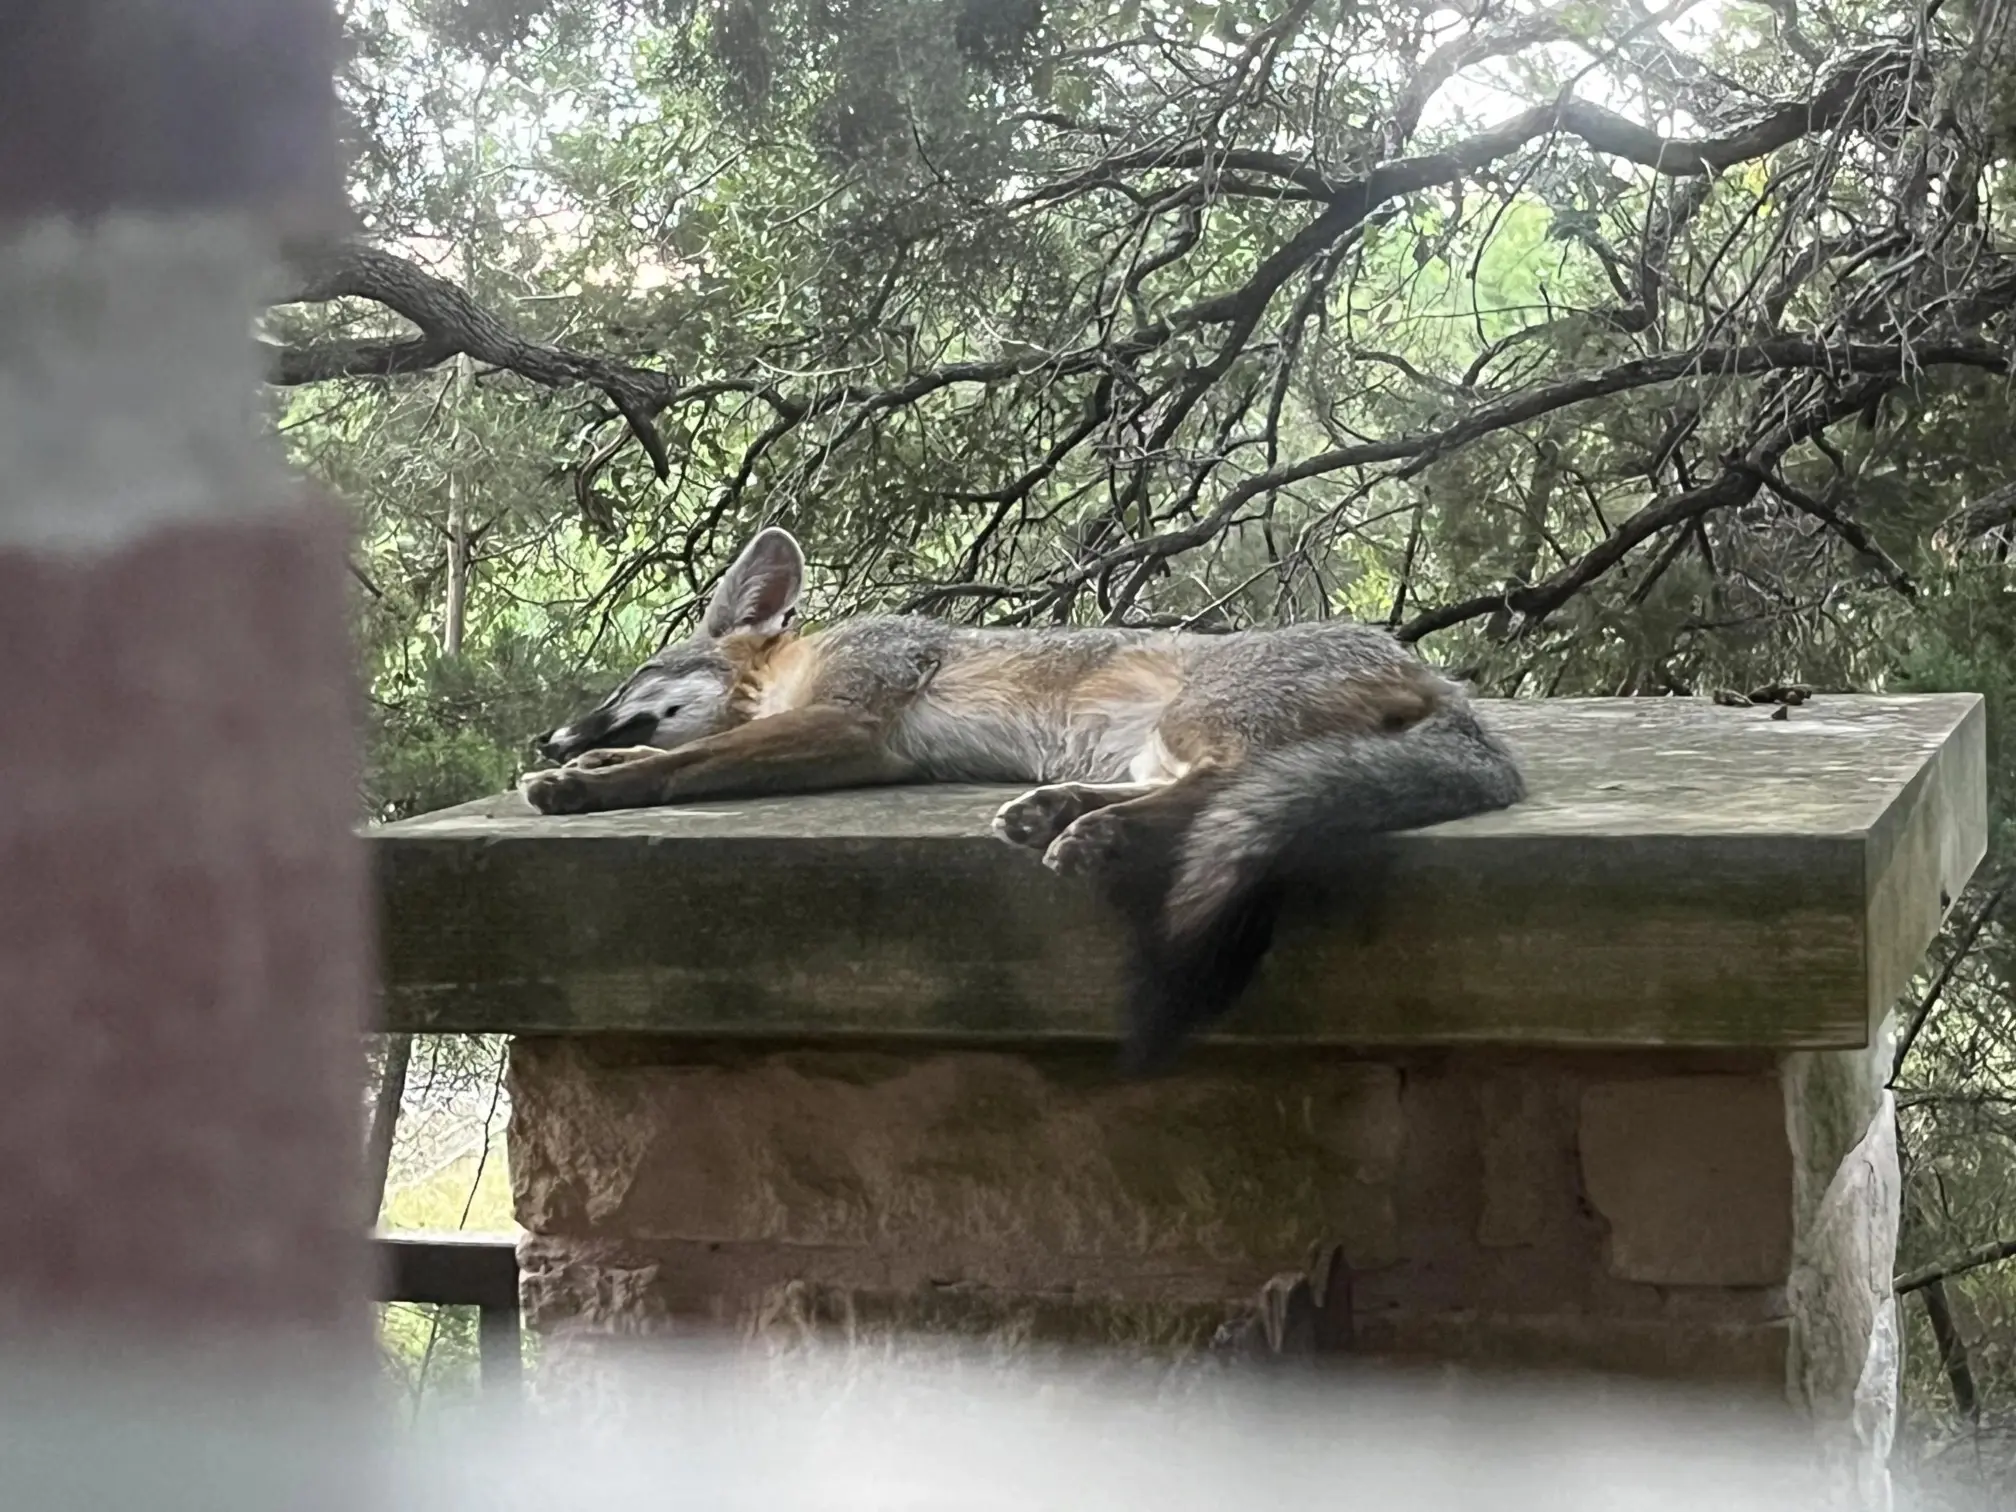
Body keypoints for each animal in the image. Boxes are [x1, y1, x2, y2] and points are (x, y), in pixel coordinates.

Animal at [524, 526, 1526, 1073]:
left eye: (628, 683)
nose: (549, 738)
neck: (793, 668)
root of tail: (1437, 676)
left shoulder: (850, 722)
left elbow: (678, 765)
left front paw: (587, 783)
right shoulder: (846, 741)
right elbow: (691, 757)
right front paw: (587, 766)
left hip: (1195, 724)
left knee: (1224, 788)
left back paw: (1094, 832)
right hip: (1154, 747)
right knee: (1192, 792)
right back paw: (1056, 811)